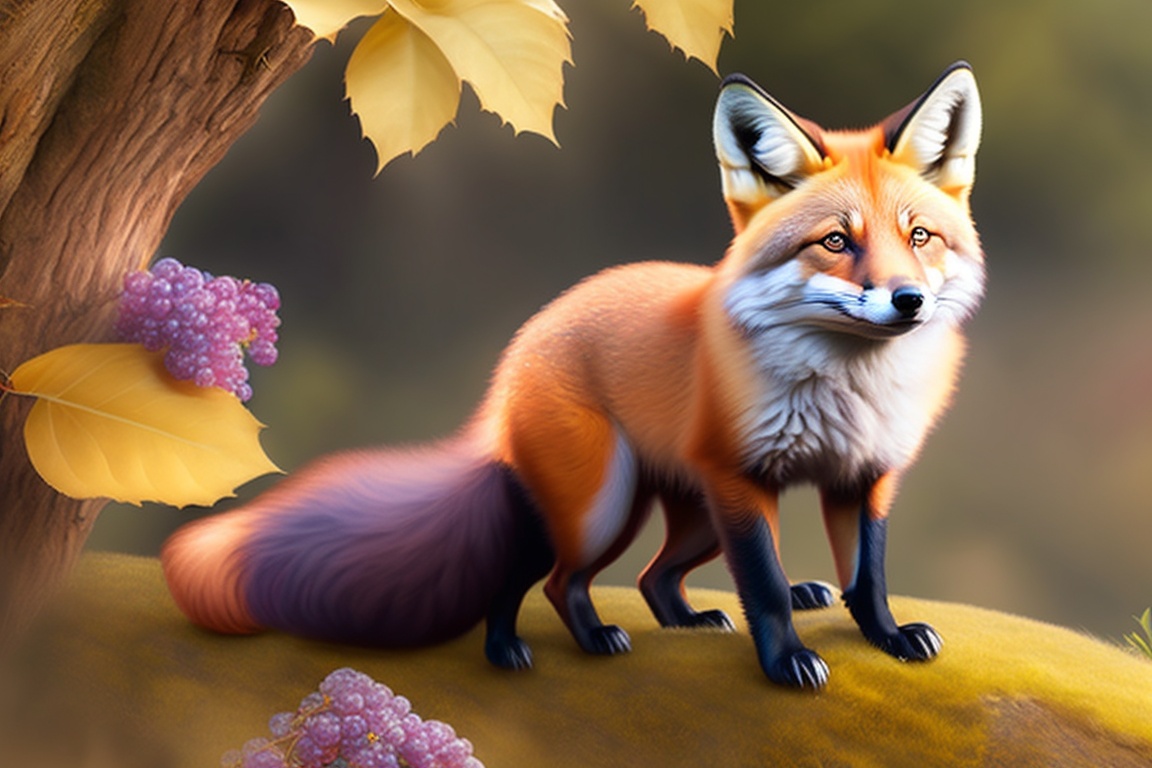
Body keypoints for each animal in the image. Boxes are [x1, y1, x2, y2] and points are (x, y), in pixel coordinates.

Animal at [162, 62, 985, 689]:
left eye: (919, 237)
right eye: (836, 242)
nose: (908, 300)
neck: (850, 387)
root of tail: (527, 338)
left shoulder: (864, 477)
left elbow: (866, 579)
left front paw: (886, 637)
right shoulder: (741, 482)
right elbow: (765, 591)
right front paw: (786, 663)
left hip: (683, 514)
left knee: (654, 578)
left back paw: (688, 618)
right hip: (602, 506)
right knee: (548, 579)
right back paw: (527, 647)